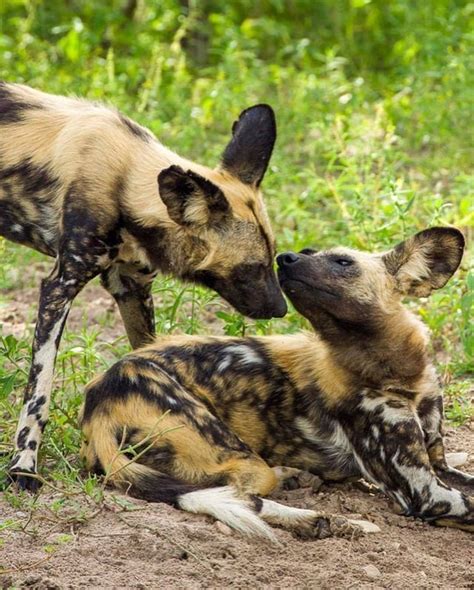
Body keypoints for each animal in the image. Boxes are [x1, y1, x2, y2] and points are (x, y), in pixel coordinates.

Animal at [1, 82, 286, 490]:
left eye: (273, 259)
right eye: (252, 268)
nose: (282, 309)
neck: (126, 180)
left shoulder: (132, 287)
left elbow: (145, 353)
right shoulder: (59, 287)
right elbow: (38, 391)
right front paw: (23, 467)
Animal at [79, 229, 472, 544]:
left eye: (342, 261)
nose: (285, 257)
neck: (398, 373)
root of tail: (99, 398)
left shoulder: (437, 466)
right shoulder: (424, 491)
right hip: (238, 455)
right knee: (237, 493)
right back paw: (321, 520)